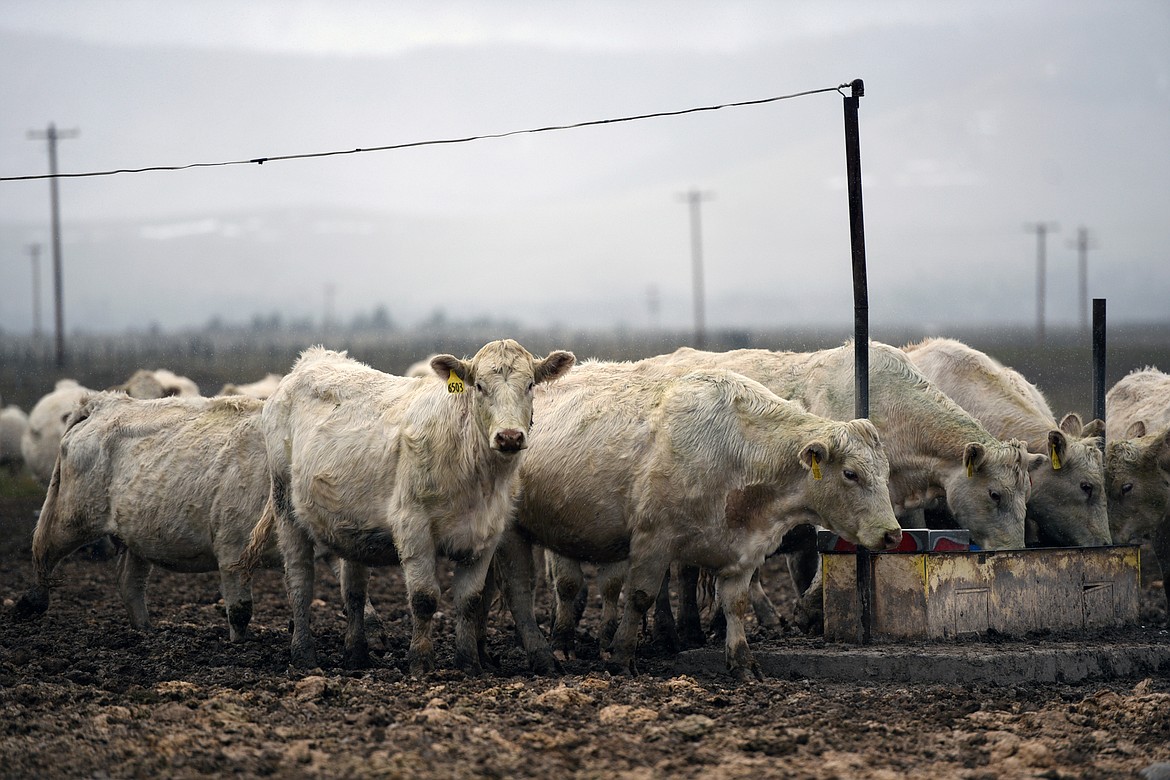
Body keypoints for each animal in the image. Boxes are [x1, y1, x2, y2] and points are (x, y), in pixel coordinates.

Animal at [243, 339, 575, 673]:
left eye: (530, 385)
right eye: (480, 386)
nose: (509, 437)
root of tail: (312, 358)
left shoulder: (486, 535)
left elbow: (469, 600)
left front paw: (468, 663)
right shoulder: (413, 526)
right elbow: (424, 598)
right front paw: (421, 661)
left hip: (350, 524)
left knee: (353, 589)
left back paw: (356, 654)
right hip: (286, 507)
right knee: (299, 581)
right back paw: (303, 655)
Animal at [496, 362, 903, 678]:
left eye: (885, 473)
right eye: (850, 474)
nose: (892, 534)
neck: (735, 449)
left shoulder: (742, 551)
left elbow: (736, 604)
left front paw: (742, 662)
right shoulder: (653, 540)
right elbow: (641, 597)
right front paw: (622, 657)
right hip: (512, 534)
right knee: (523, 593)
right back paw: (545, 653)